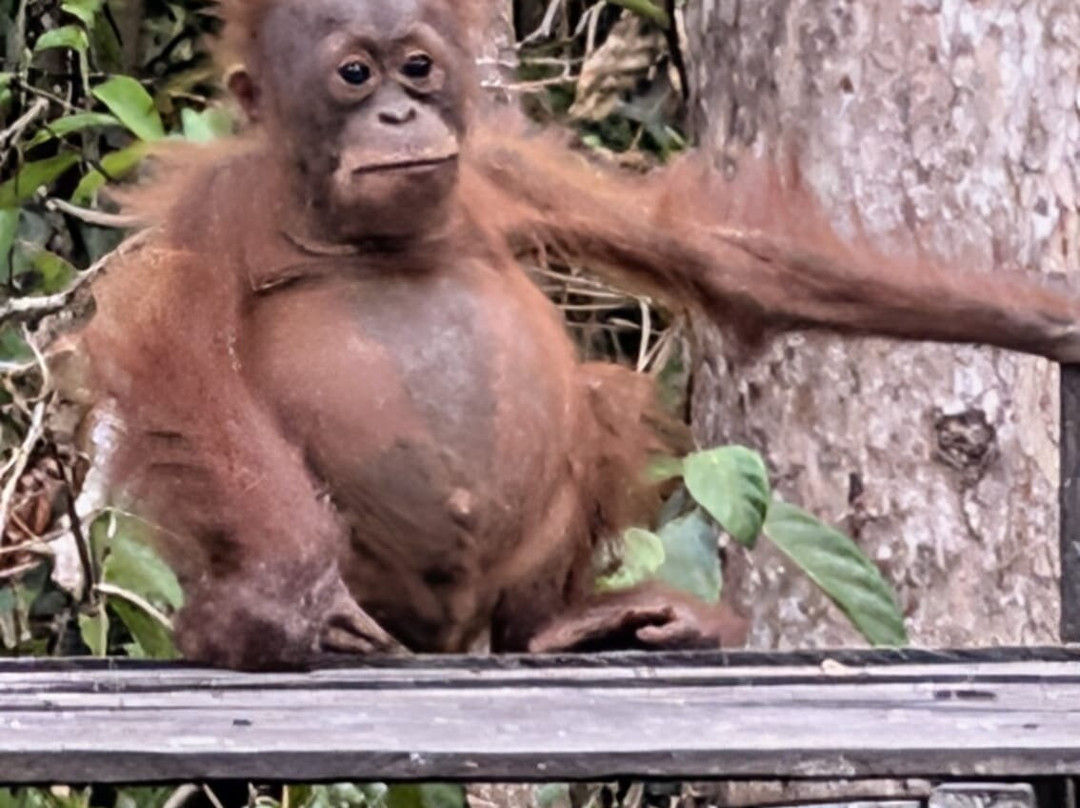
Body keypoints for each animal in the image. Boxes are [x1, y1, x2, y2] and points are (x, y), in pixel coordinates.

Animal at [61, 0, 1080, 671]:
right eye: (354, 74)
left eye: (416, 67)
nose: (398, 113)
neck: (367, 230)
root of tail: (455, 636)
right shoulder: (215, 204)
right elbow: (181, 353)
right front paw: (287, 604)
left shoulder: (503, 170)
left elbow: (731, 260)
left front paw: (1050, 321)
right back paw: (234, 628)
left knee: (599, 394)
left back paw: (576, 625)